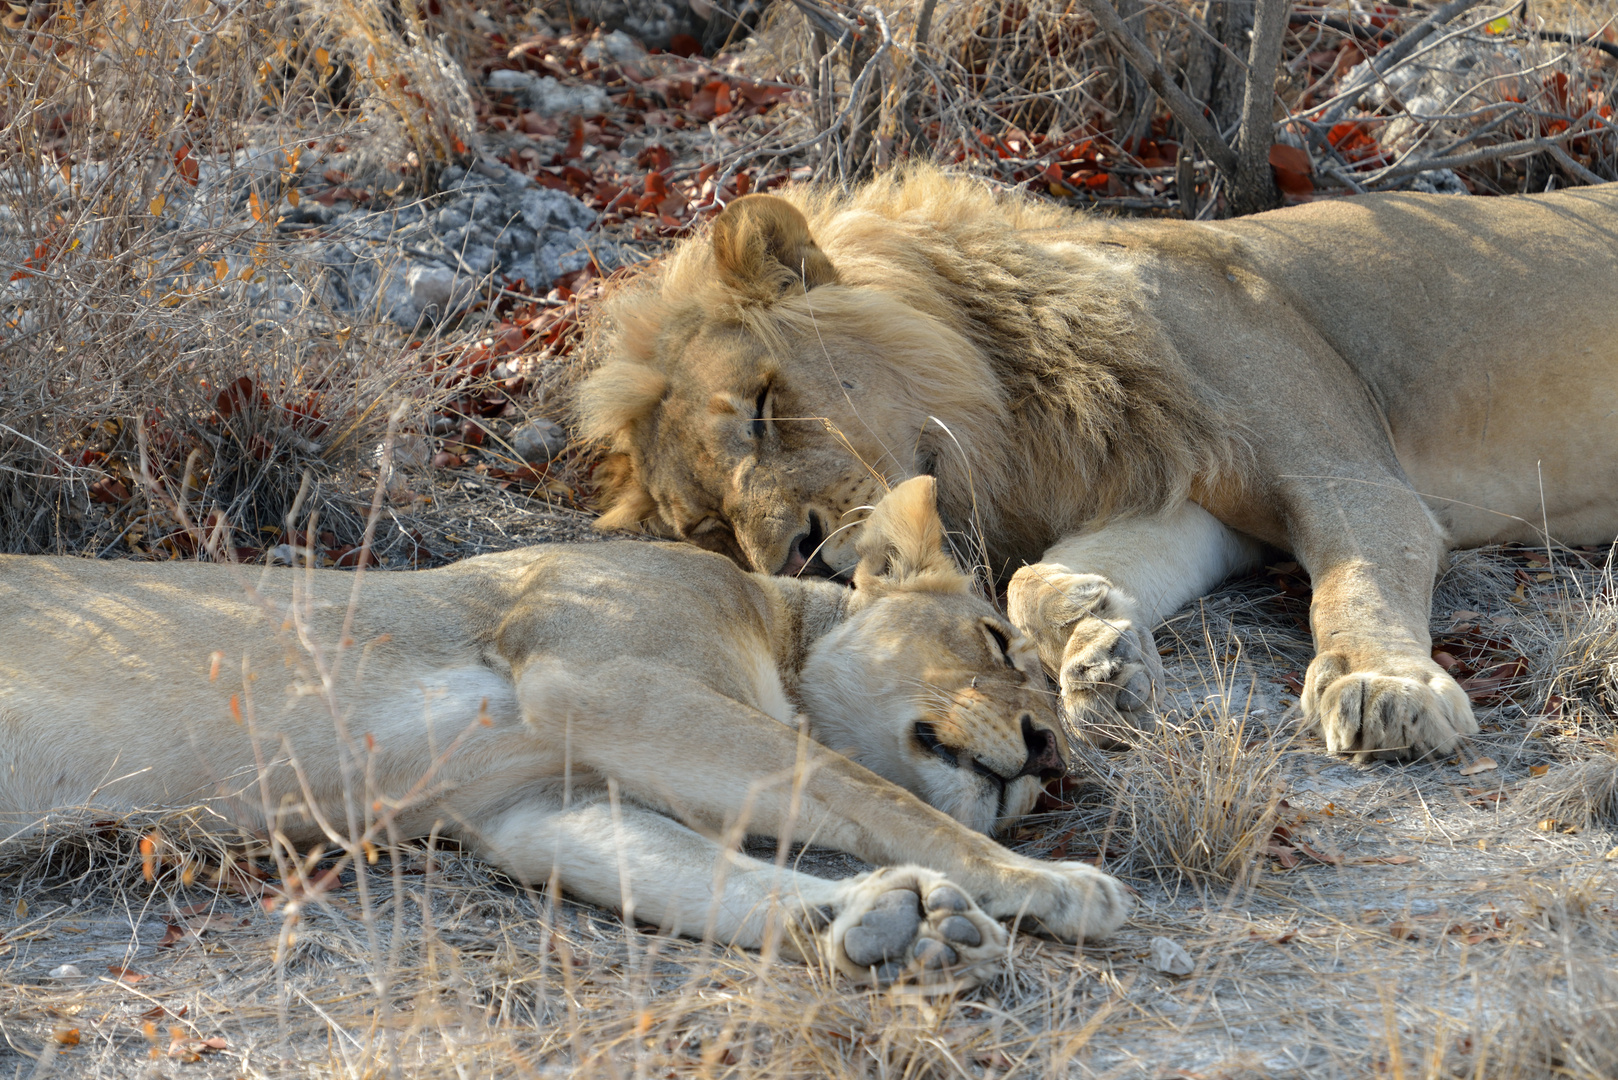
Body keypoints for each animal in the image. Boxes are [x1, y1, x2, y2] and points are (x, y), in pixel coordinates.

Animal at [0, 482, 1132, 990]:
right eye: (994, 637)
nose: (1049, 754)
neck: (777, 634)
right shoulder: (602, 675)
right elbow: (878, 796)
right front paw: (1053, 884)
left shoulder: (540, 805)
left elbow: (709, 876)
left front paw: (894, 924)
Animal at [582, 169, 1618, 761]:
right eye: (707, 527)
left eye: (762, 406)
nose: (791, 553)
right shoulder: (1202, 507)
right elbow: (1035, 578)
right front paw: (1098, 640)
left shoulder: (1345, 472)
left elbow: (1354, 580)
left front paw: (1387, 688)